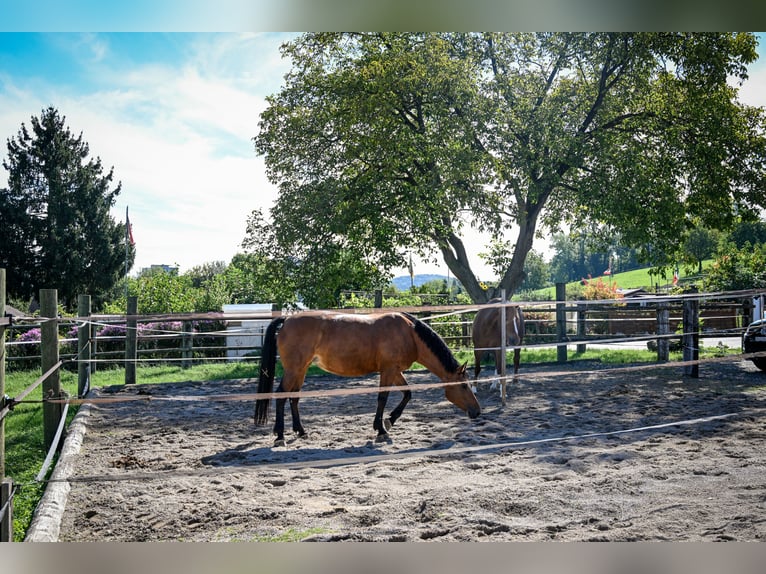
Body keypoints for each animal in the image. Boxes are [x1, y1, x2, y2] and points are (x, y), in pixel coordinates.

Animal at [255, 312, 480, 448]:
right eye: (463, 386)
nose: (477, 412)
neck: (409, 333)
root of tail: (287, 320)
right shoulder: (388, 371)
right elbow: (382, 398)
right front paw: (381, 429)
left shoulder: (395, 371)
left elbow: (407, 394)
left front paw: (389, 420)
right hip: (294, 370)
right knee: (281, 396)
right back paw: (280, 436)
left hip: (300, 370)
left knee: (294, 397)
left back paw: (301, 431)